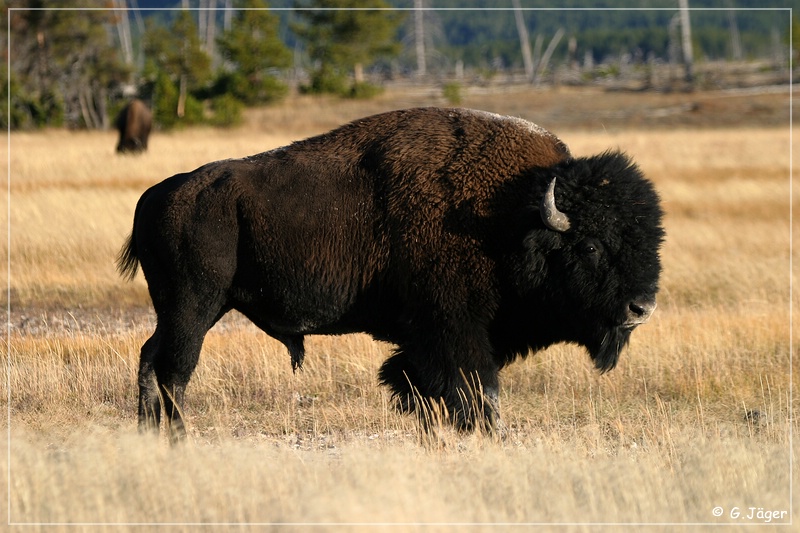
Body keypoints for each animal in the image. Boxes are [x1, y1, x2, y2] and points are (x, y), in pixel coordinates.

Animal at [115, 106, 664, 438]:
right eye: (590, 245)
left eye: (651, 240)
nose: (641, 307)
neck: (511, 212)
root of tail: (154, 197)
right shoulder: (455, 328)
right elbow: (477, 388)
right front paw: (487, 432)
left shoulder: (436, 341)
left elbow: (416, 382)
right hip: (195, 305)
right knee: (175, 370)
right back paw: (179, 437)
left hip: (181, 309)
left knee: (150, 358)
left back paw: (147, 431)